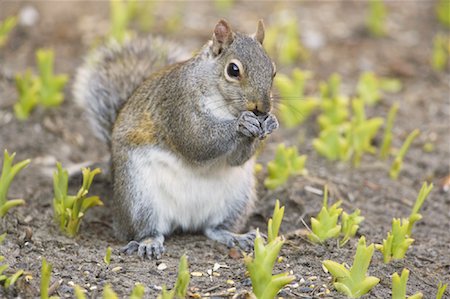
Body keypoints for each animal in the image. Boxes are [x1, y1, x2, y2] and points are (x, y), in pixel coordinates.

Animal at [73, 19, 278, 260]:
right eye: (233, 70)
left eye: (273, 71)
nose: (262, 109)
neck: (224, 106)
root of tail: (186, 221)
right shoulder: (178, 106)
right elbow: (197, 141)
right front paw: (241, 124)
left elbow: (237, 159)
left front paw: (270, 123)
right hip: (138, 196)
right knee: (146, 229)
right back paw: (149, 242)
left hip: (237, 200)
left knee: (213, 228)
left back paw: (234, 236)